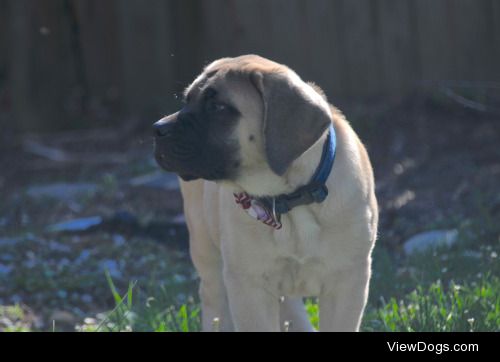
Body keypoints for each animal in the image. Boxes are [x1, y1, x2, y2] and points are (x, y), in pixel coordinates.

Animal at [154, 53, 376, 330]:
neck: (289, 198)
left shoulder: (347, 281)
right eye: (187, 101)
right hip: (207, 254)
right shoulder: (249, 286)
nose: (157, 128)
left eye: (218, 108)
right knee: (215, 303)